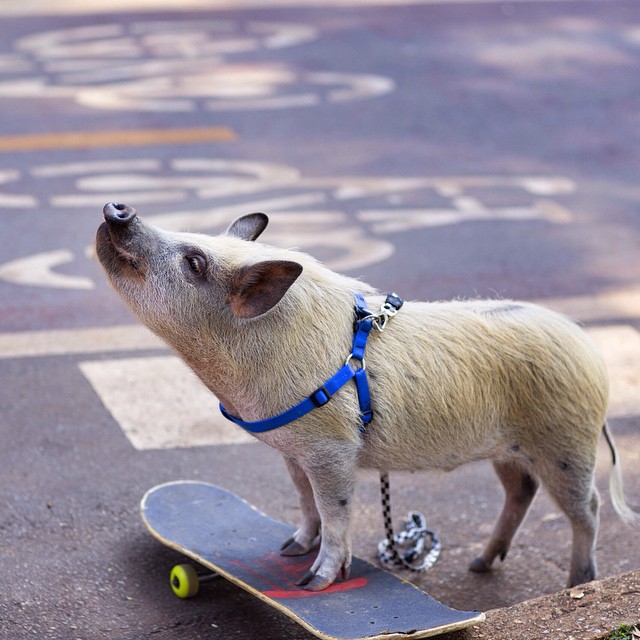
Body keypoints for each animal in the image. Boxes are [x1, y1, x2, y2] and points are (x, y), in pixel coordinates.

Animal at [96, 202, 638, 592]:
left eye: (194, 261)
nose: (119, 208)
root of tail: (588, 348)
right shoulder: (295, 450)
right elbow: (305, 503)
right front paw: (289, 548)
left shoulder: (333, 448)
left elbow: (336, 510)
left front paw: (311, 583)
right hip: (511, 449)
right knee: (520, 492)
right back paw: (479, 566)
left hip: (565, 442)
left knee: (588, 507)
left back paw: (576, 582)